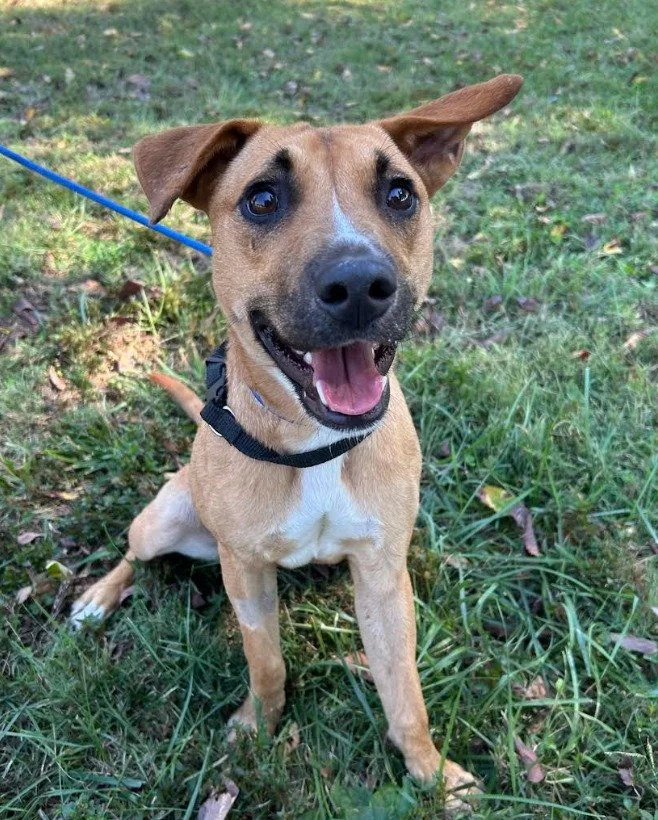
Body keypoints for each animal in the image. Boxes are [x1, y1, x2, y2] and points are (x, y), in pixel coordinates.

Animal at [71, 74, 522, 808]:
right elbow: (268, 662)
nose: (360, 284)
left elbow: (405, 692)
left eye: (399, 193)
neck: (313, 445)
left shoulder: (383, 575)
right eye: (262, 199)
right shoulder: (246, 572)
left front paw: (431, 773)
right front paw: (256, 728)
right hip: (166, 517)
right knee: (134, 553)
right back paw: (95, 600)